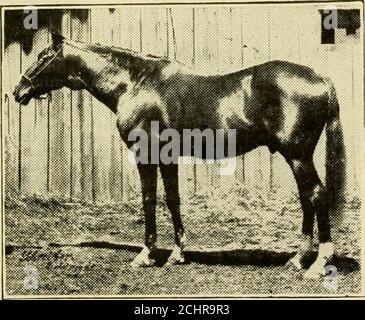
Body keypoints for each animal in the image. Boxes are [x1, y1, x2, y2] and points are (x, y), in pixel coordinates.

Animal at [13, 33, 344, 278]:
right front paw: (177, 253)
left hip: (298, 155)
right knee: (307, 198)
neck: (135, 83)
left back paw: (317, 264)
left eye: (43, 56)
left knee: (316, 195)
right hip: (296, 157)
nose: (18, 90)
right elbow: (172, 198)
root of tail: (321, 78)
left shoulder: (145, 154)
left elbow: (149, 199)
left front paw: (146, 255)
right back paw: (298, 259)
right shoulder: (167, 156)